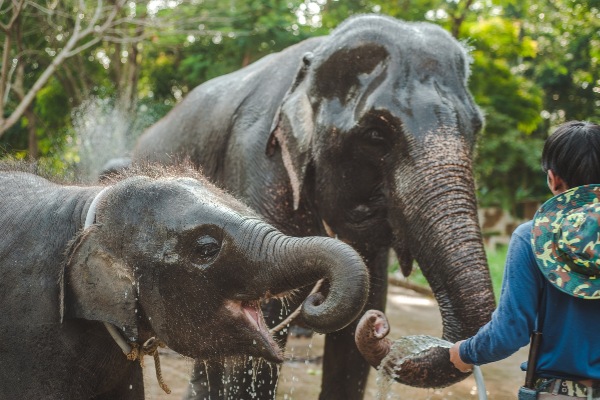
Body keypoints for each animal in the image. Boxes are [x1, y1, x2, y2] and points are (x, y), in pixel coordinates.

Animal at [134, 14, 494, 398]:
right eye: (376, 135)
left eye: (476, 129)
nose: (379, 327)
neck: (314, 58)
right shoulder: (257, 161)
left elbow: (357, 331)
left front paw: (363, 318)